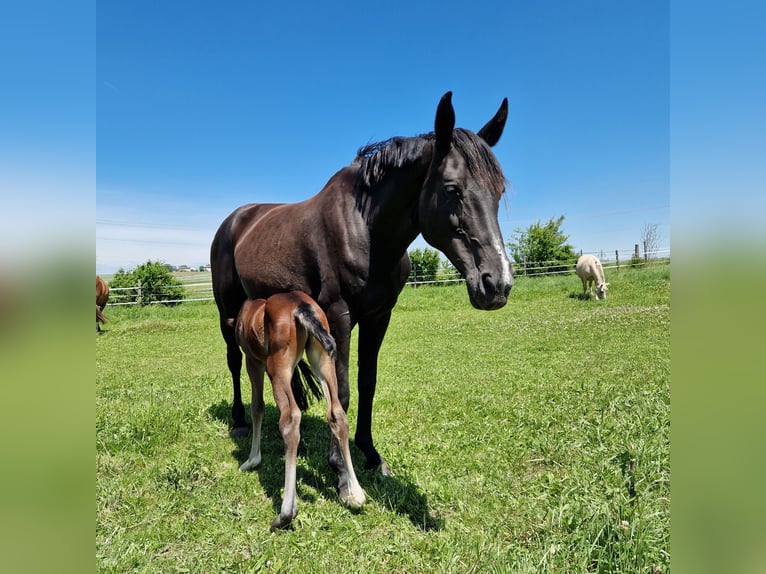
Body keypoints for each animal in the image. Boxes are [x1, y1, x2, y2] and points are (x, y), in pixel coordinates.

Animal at [212, 92, 516, 488]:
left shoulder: (379, 316)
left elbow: (367, 383)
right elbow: (340, 390)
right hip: (227, 313)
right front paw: (341, 471)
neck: (366, 229)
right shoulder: (338, 317)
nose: (497, 284)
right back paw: (238, 421)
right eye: (453, 189)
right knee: (234, 361)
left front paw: (371, 454)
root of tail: (236, 218)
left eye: (499, 192)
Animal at [228, 292, 366, 532]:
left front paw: (252, 459)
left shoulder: (253, 361)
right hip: (323, 360)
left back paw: (285, 514)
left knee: (290, 421)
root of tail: (301, 306)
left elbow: (257, 406)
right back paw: (356, 494)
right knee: (337, 414)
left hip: (277, 366)